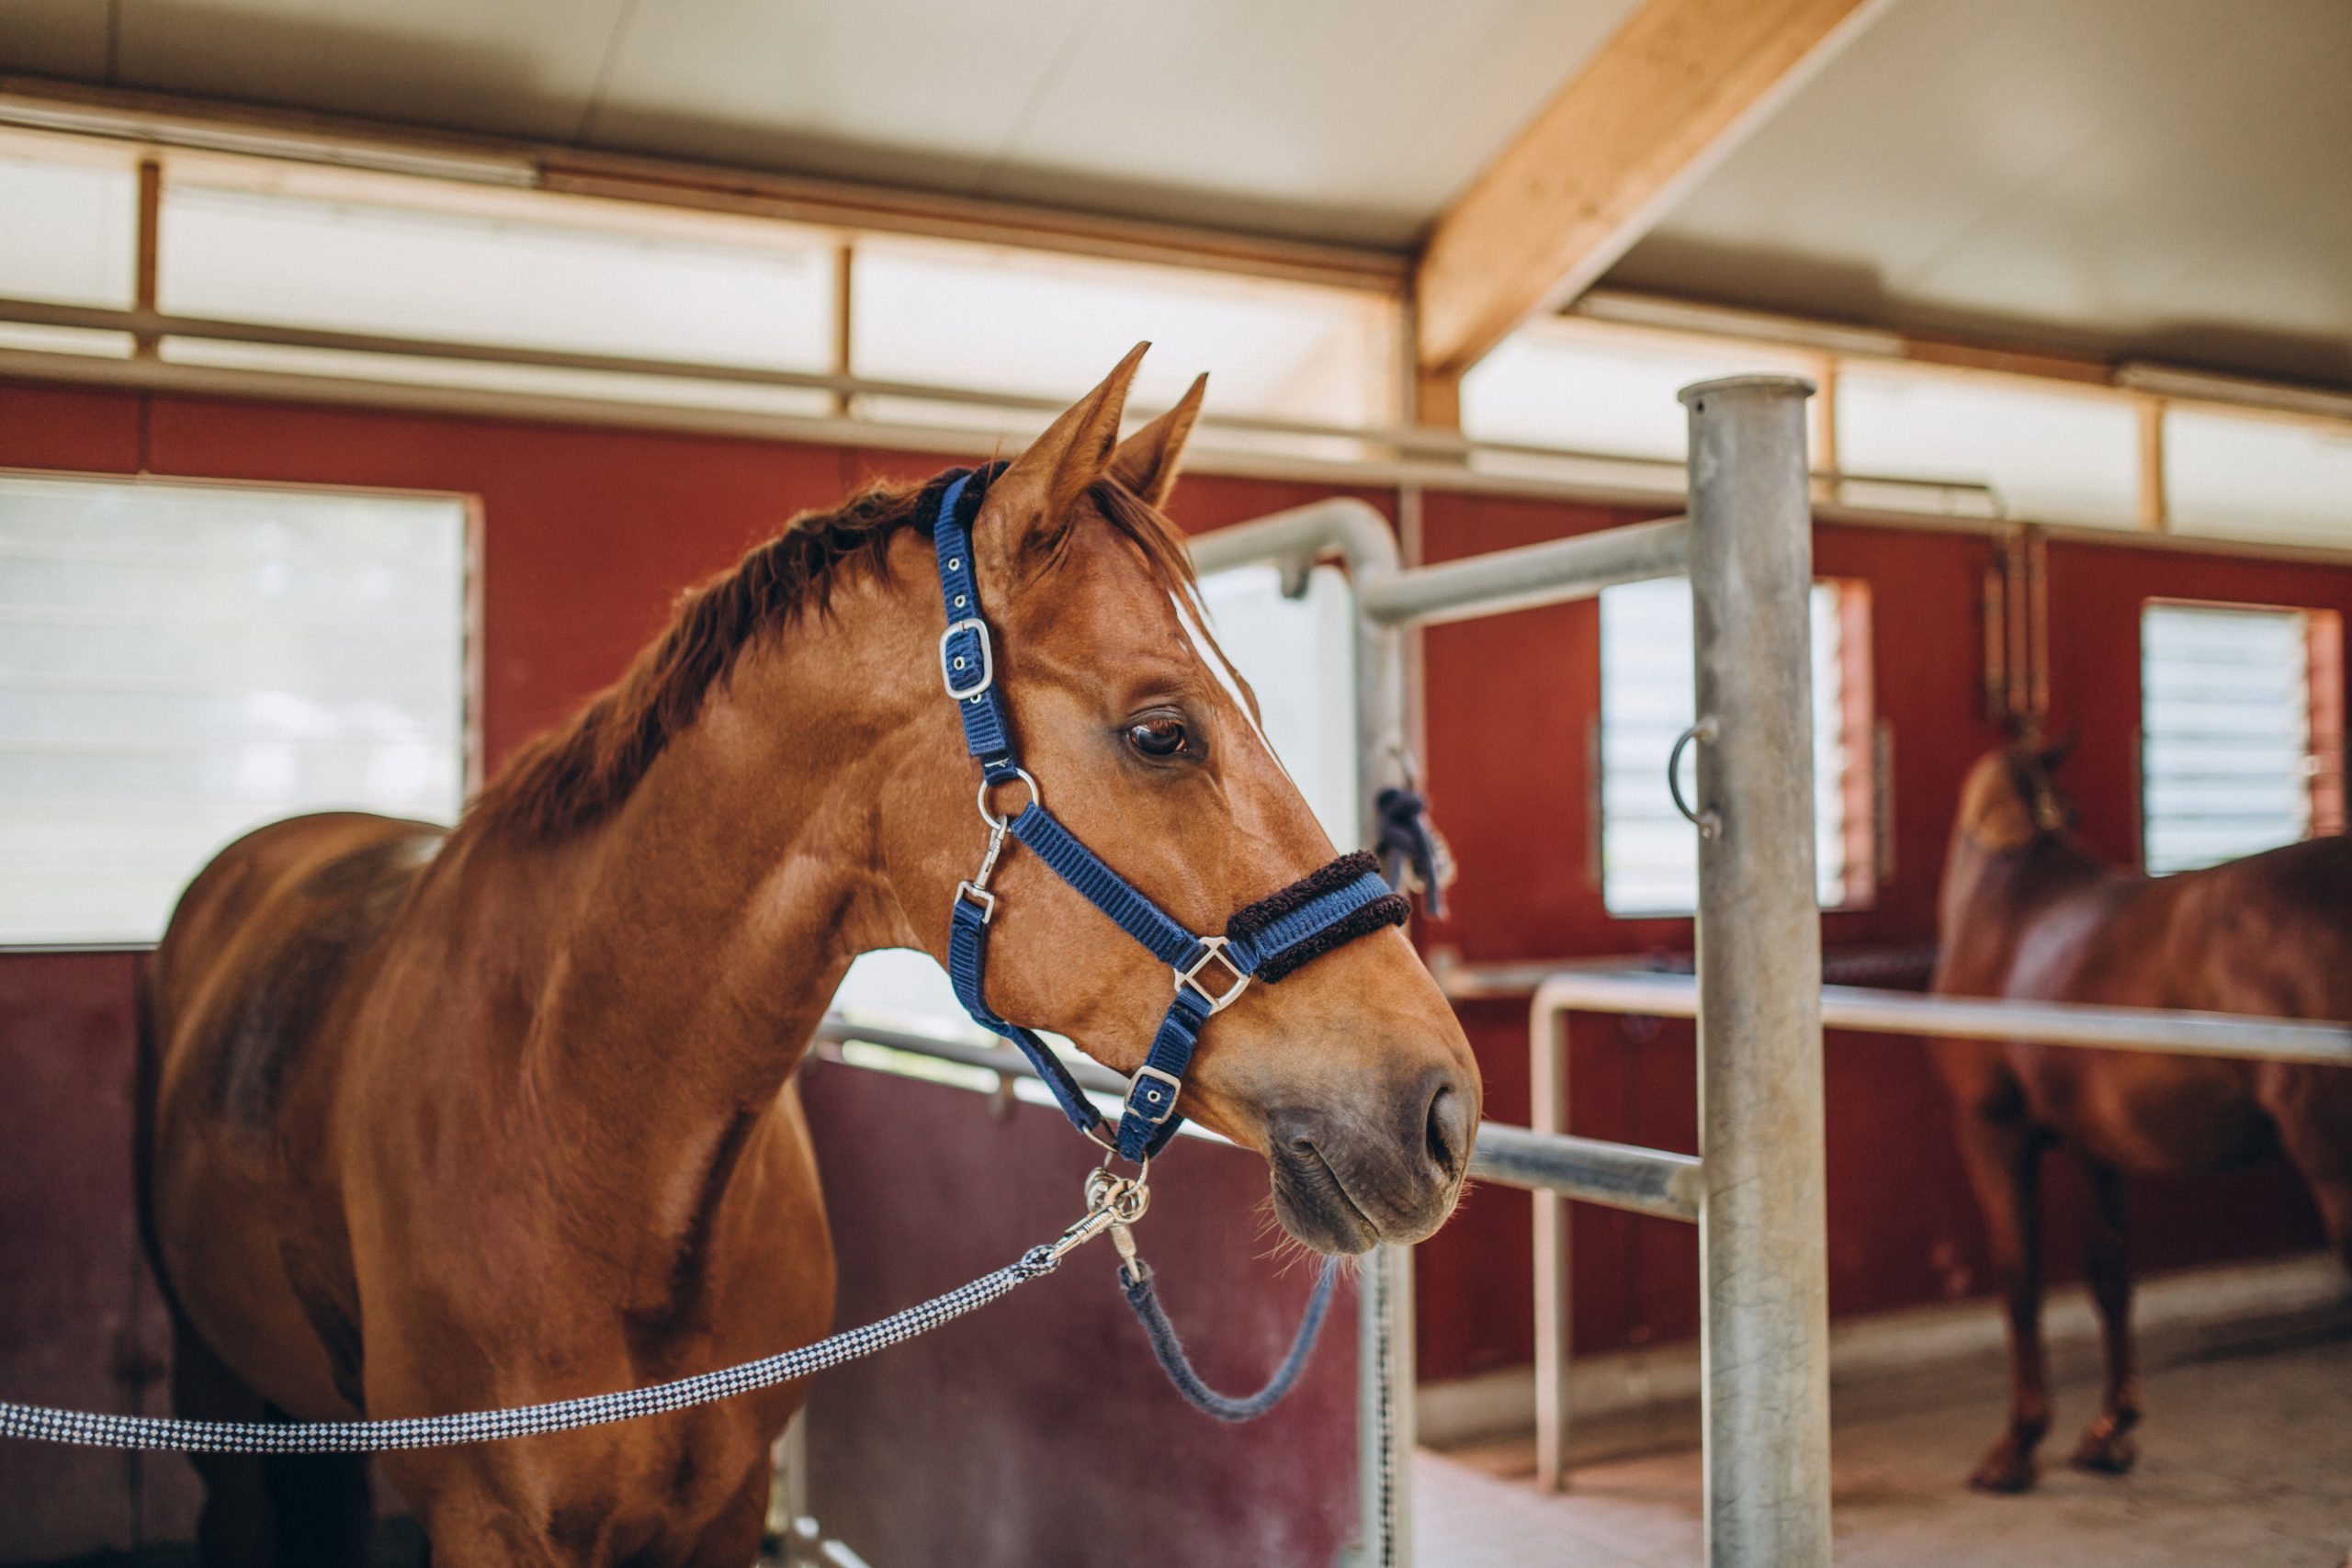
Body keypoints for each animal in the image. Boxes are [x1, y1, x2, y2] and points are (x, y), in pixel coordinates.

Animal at [135, 344, 1482, 1566]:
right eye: (1161, 731)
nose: (1446, 1110)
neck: (576, 1127)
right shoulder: (487, 1527)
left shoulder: (724, 1512)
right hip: (214, 1389)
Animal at [1930, 738, 2351, 1493]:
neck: (2006, 905)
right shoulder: (2098, 1145)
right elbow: (2111, 1274)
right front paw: (2110, 1431)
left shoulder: (1993, 1134)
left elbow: (2020, 1277)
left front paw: (2017, 1445)